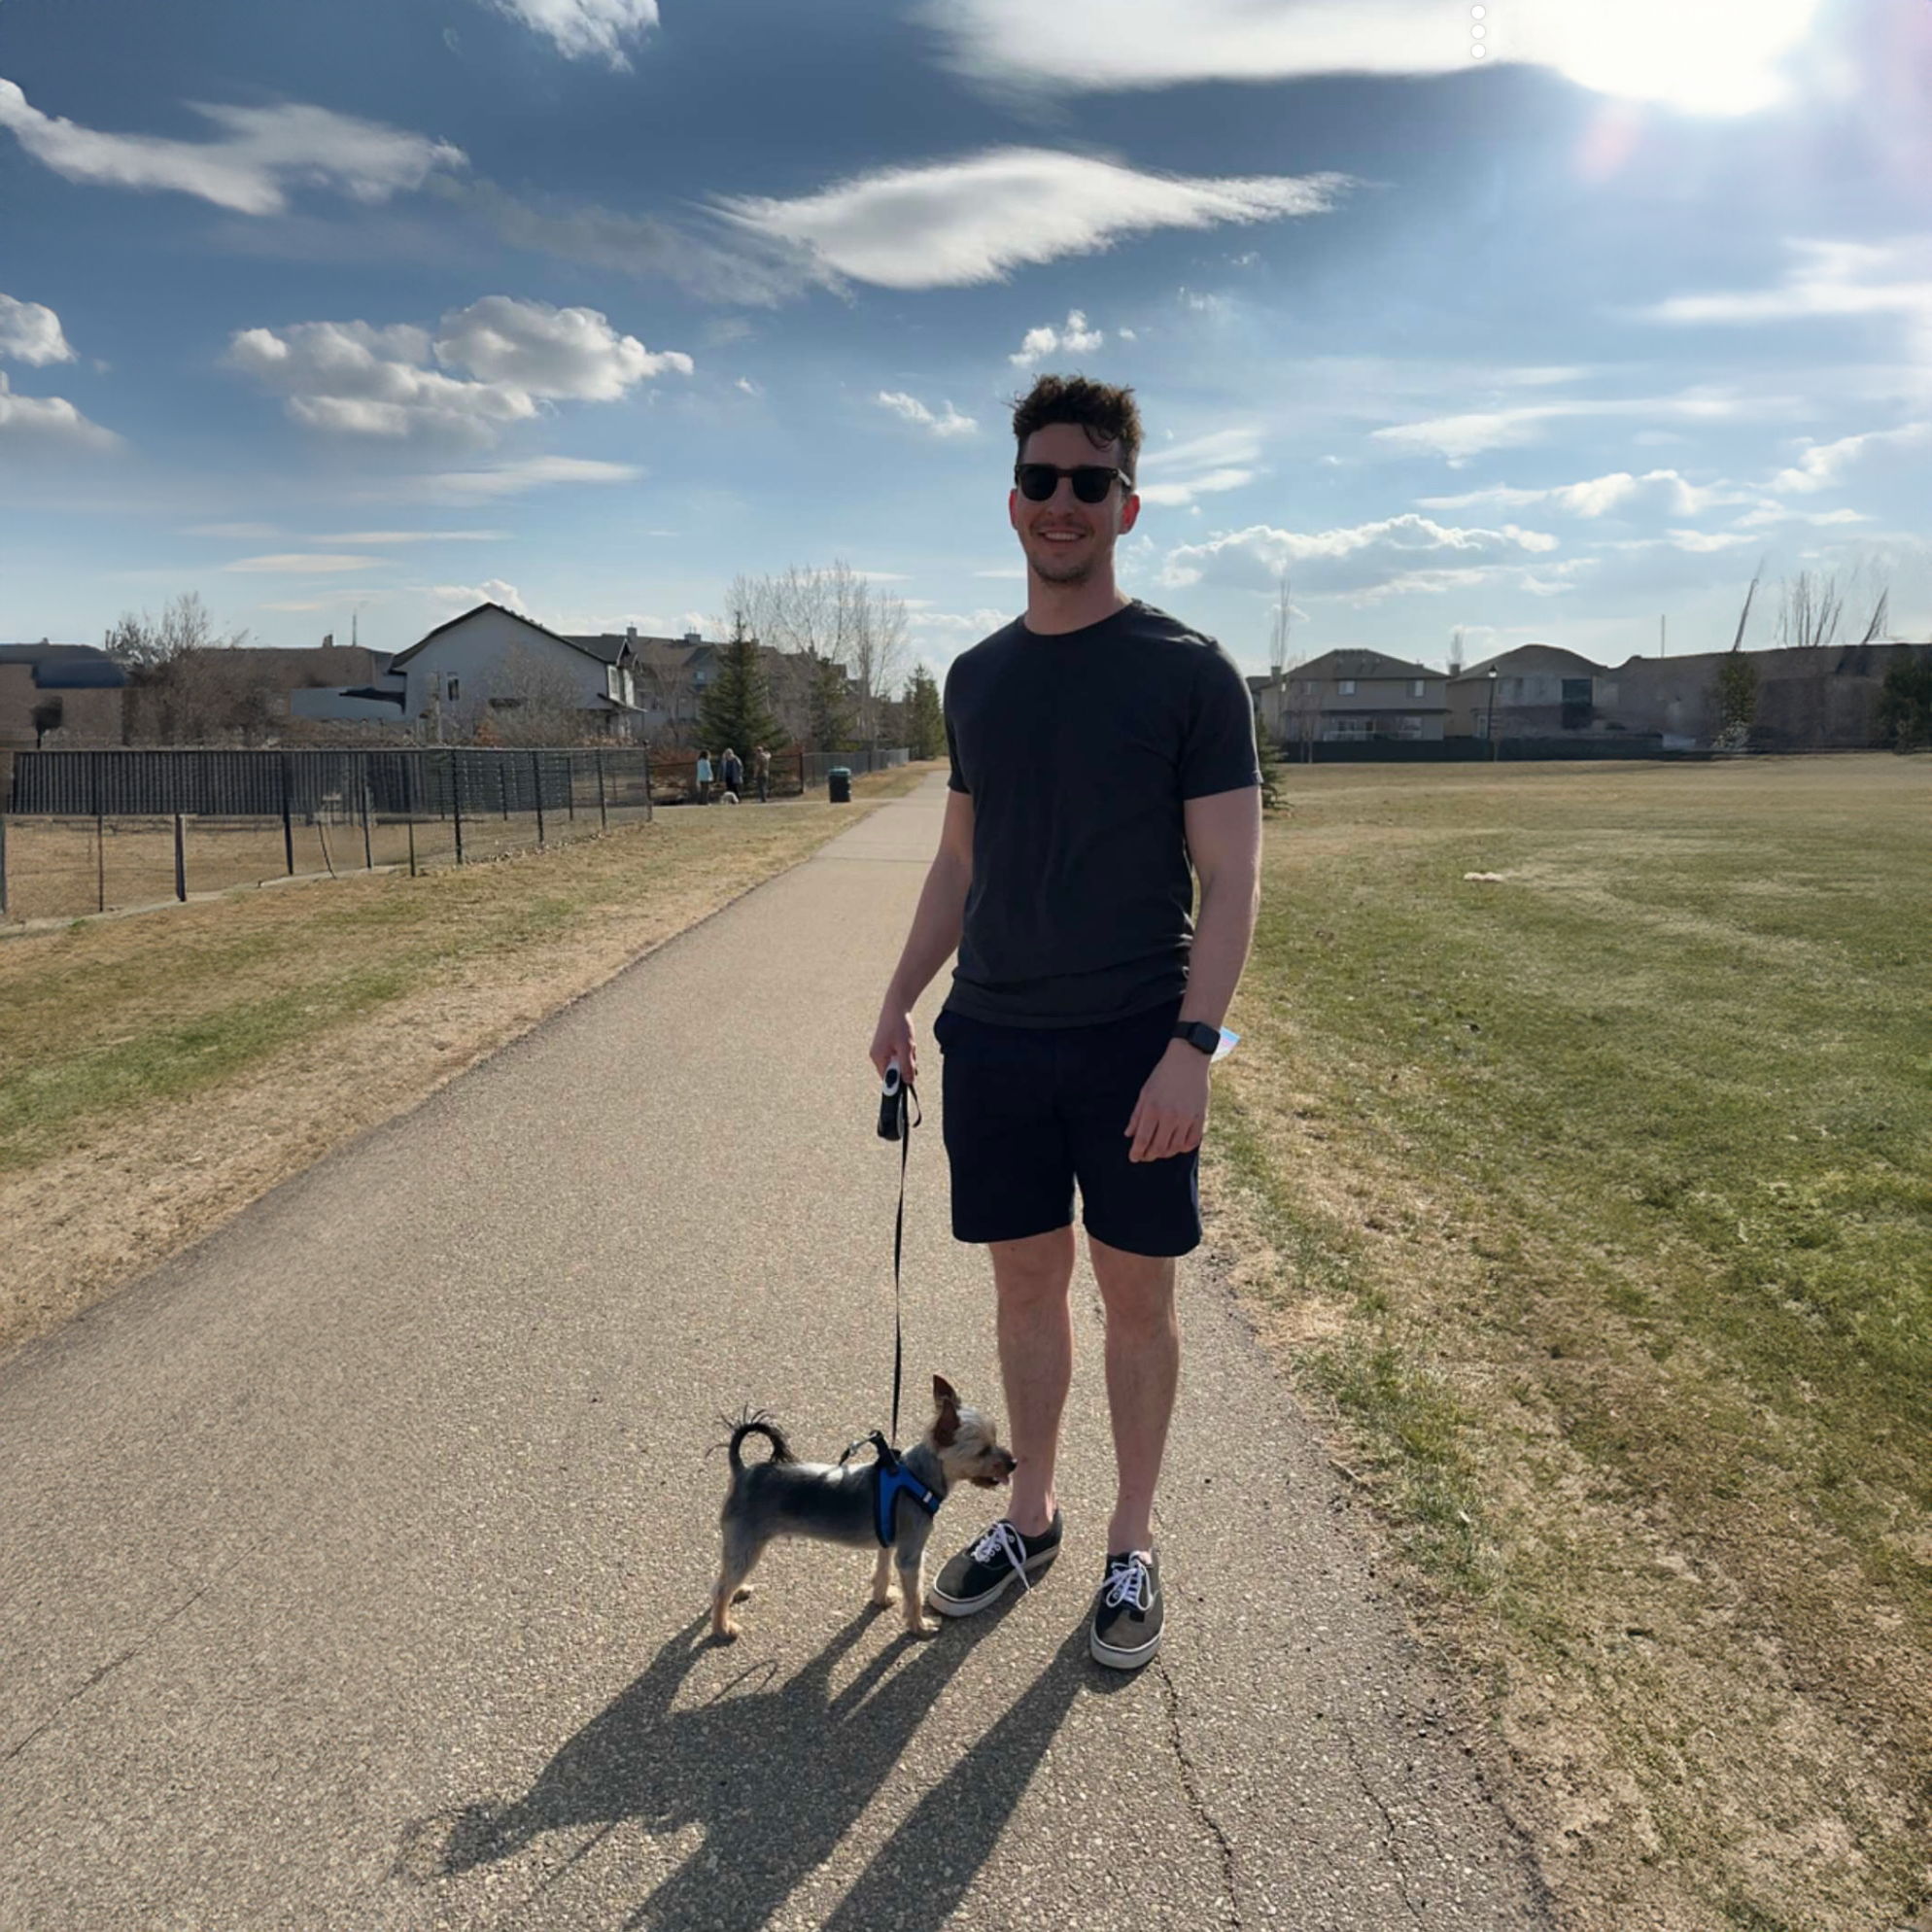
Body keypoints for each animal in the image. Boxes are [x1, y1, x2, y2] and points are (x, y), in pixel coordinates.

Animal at [710, 1375, 1012, 1645]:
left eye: (996, 1439)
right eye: (983, 1451)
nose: (1014, 1463)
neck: (918, 1476)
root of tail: (743, 1471)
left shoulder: (889, 1542)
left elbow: (883, 1570)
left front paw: (881, 1598)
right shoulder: (911, 1553)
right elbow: (914, 1594)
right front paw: (919, 1626)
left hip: (741, 1544)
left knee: (725, 1575)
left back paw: (738, 1592)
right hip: (747, 1541)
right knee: (720, 1589)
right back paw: (723, 1627)